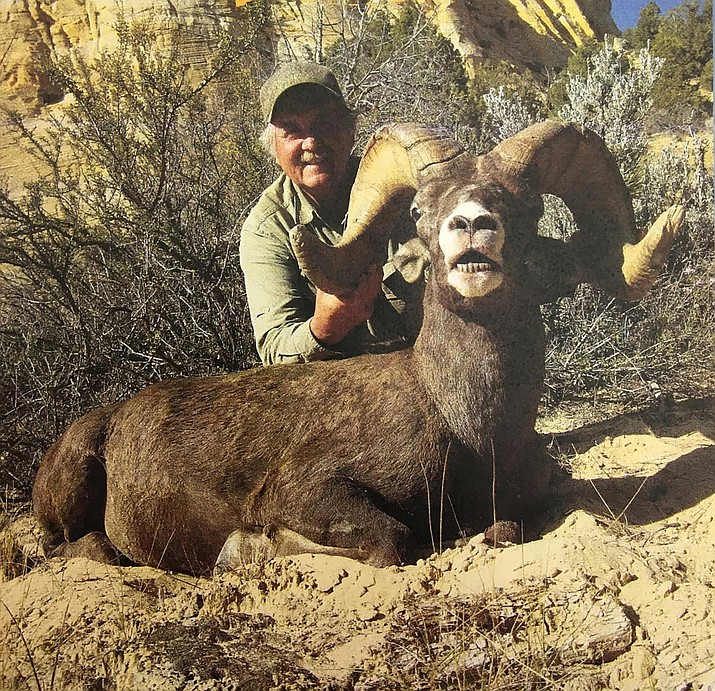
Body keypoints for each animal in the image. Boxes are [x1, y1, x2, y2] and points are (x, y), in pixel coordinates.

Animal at [33, 121, 684, 576]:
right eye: (420, 209)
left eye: (527, 206)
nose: (471, 225)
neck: (466, 422)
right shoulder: (309, 491)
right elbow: (393, 540)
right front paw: (250, 551)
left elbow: (501, 530)